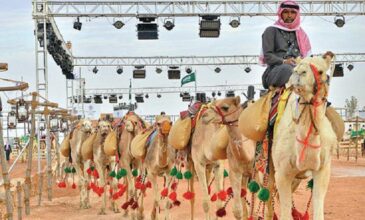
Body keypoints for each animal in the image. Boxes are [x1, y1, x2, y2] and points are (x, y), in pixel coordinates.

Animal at [272, 52, 336, 219]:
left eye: (321, 71)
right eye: (296, 67)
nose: (298, 73)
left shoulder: (323, 169)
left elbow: (318, 208)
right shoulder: (281, 173)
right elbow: (285, 212)